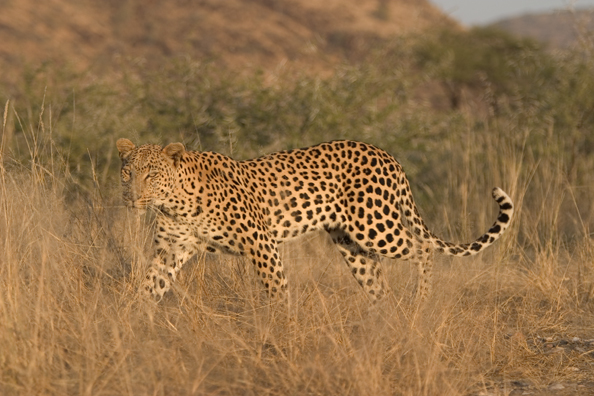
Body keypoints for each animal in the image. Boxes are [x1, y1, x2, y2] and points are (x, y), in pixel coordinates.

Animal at [117, 138, 512, 302]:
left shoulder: (261, 244)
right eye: (128, 172)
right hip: (351, 244)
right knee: (378, 283)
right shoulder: (171, 249)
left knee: (423, 249)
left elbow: (277, 290)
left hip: (376, 226)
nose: (132, 196)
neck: (175, 201)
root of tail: (388, 155)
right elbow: (149, 284)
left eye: (151, 174)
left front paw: (280, 331)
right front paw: (133, 322)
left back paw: (420, 305)